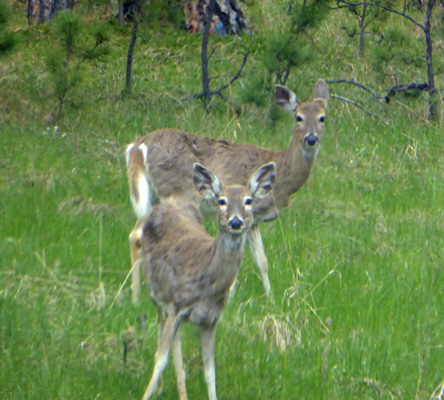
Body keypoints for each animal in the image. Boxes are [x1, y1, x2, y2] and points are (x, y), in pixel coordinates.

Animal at [126, 79, 328, 304]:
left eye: (322, 118)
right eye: (298, 117)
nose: (311, 139)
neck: (283, 173)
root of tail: (138, 146)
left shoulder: (253, 220)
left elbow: (262, 260)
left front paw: (270, 299)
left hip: (152, 196)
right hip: (178, 193)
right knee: (138, 234)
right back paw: (136, 297)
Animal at [140, 161, 276, 398]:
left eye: (248, 201)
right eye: (222, 201)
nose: (235, 221)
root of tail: (167, 204)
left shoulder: (210, 320)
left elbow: (210, 371)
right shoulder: (177, 307)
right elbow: (161, 361)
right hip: (158, 296)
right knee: (165, 339)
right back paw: (165, 388)